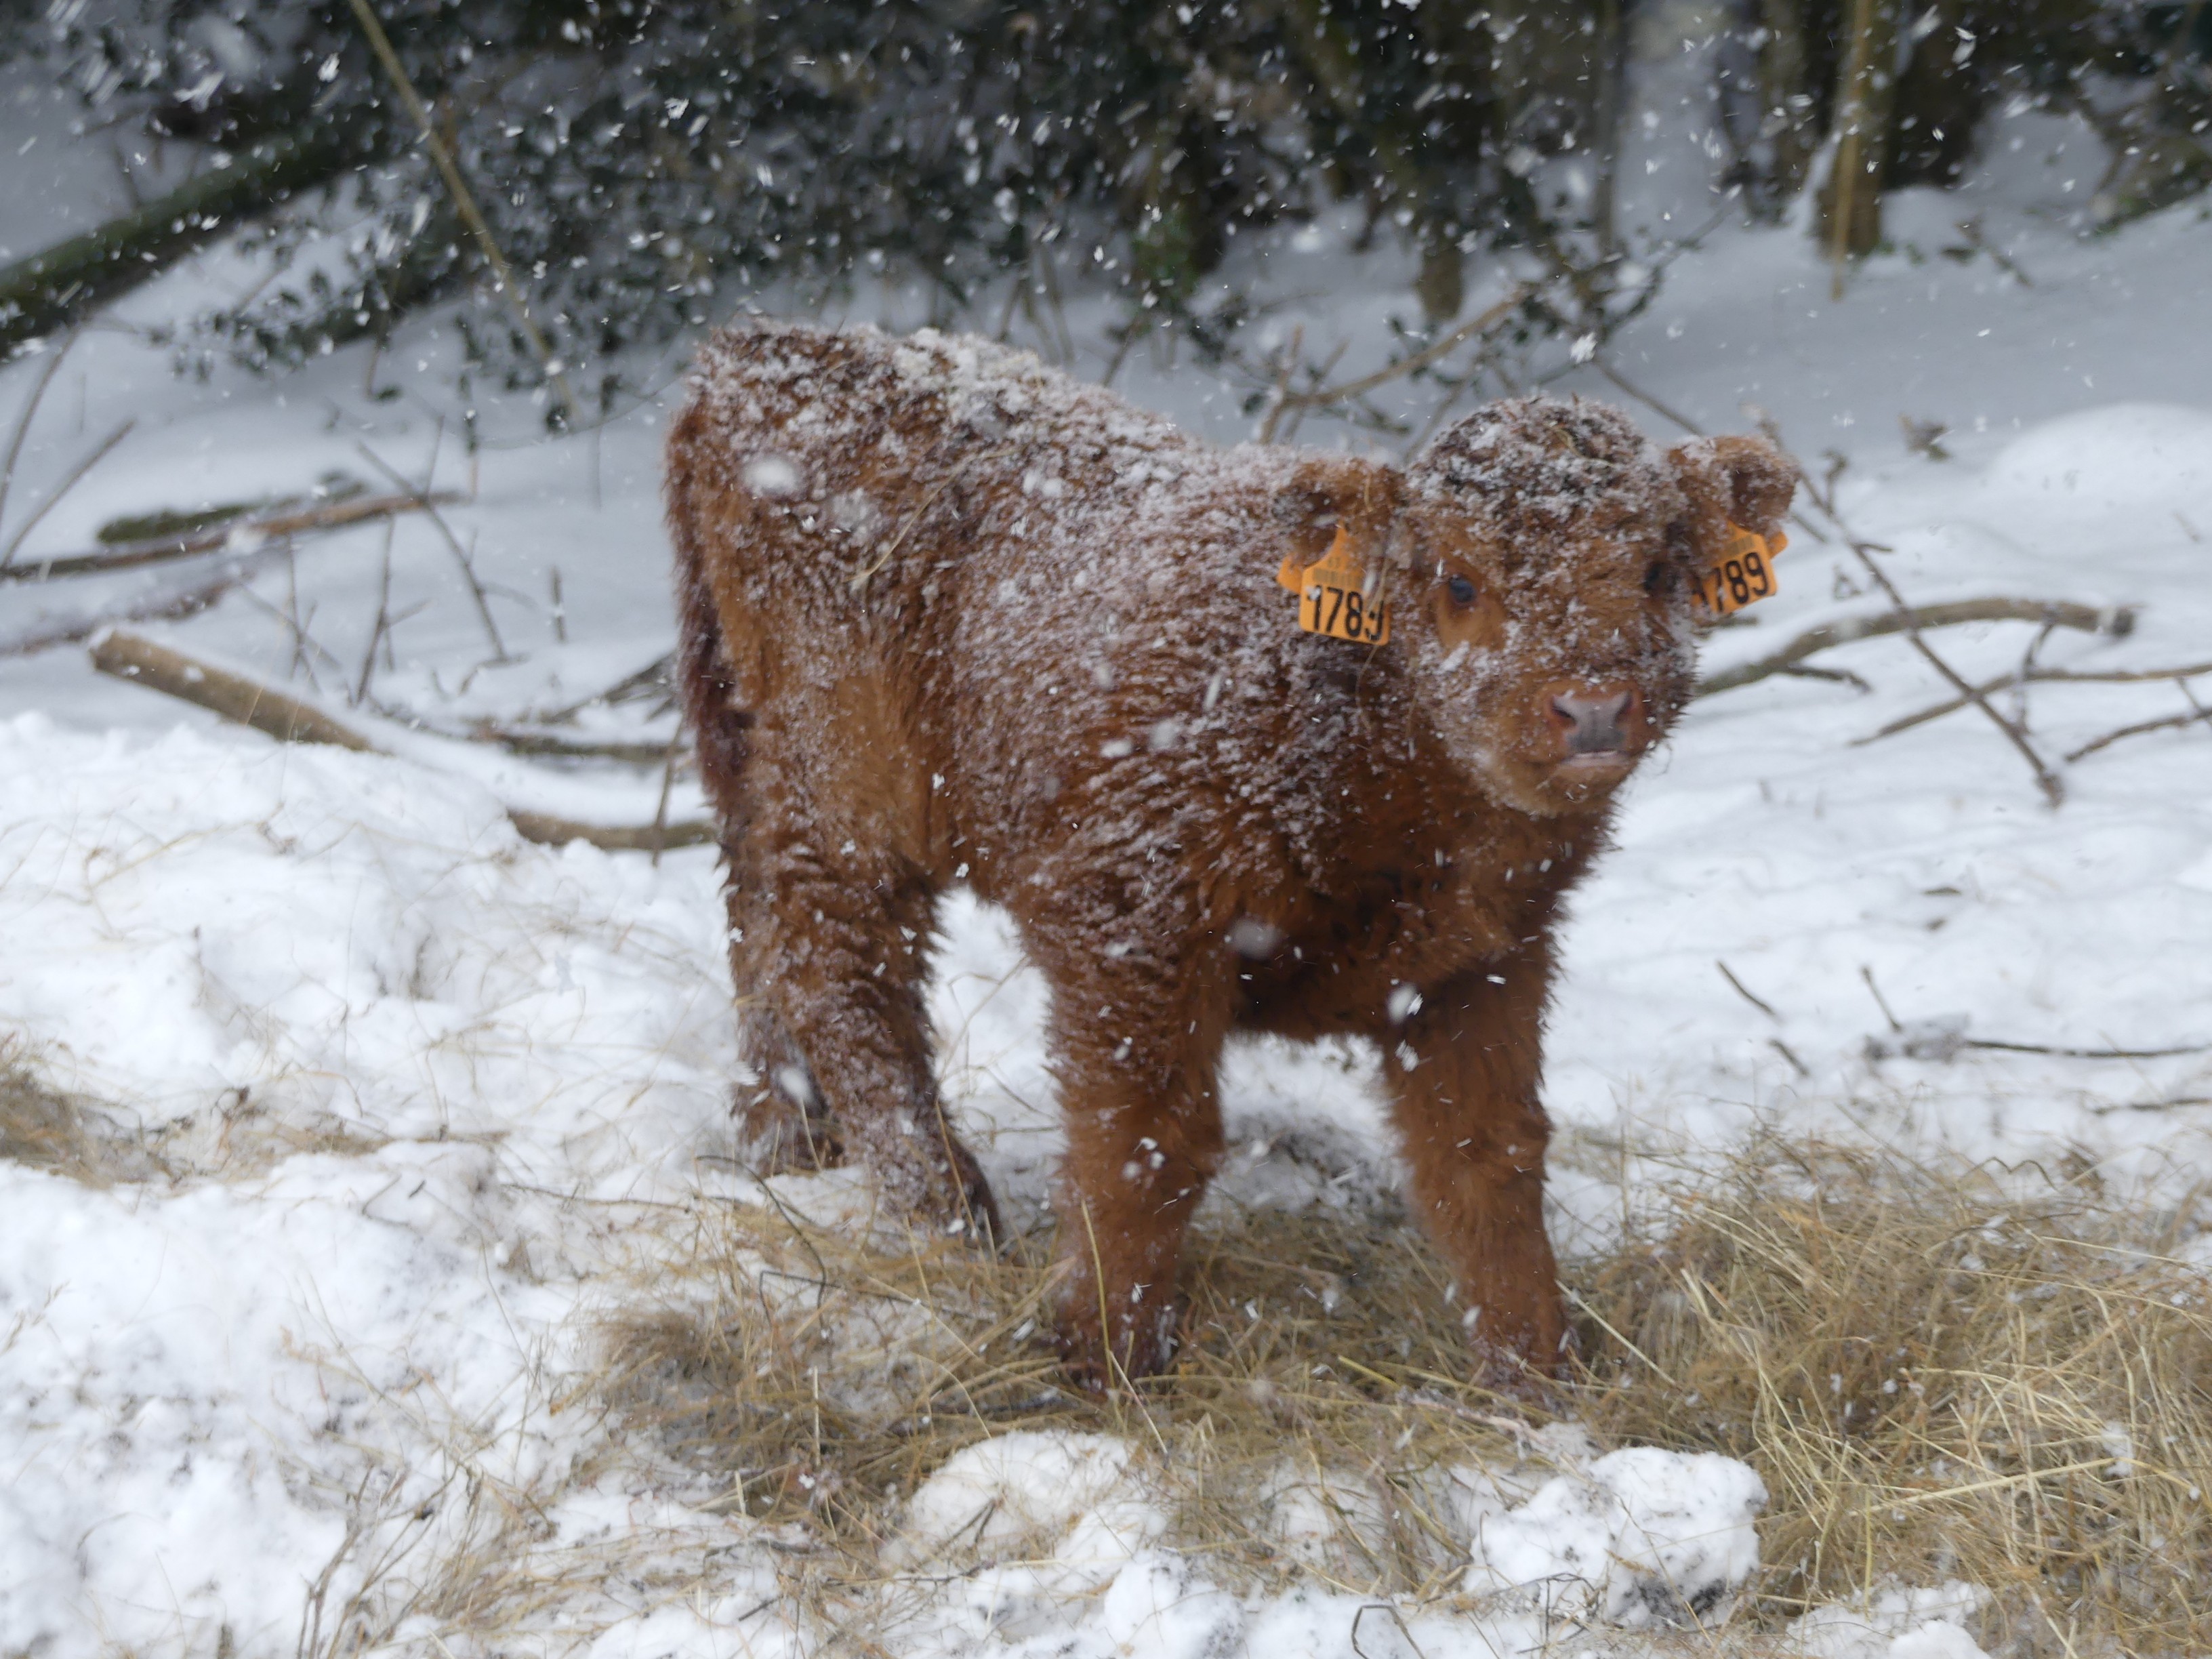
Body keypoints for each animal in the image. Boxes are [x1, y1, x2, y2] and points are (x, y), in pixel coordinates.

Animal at [659, 321, 1796, 1389]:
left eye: (1657, 570)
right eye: (1461, 580)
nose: (1593, 708)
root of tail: (767, 352)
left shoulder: (1485, 961)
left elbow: (1489, 1160)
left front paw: (1536, 1381)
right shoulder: (1131, 926)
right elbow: (1146, 1148)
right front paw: (1102, 1362)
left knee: (756, 909)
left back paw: (786, 1140)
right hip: (848, 784)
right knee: (838, 964)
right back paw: (950, 1218)